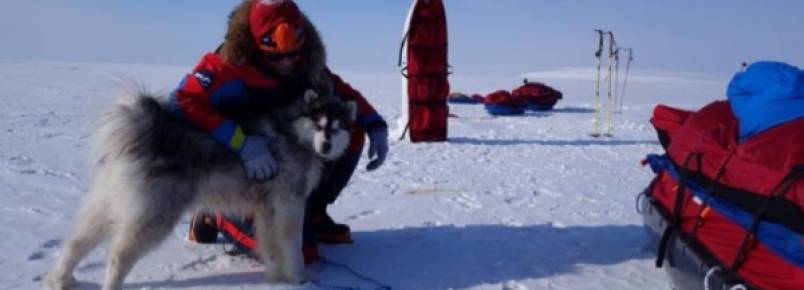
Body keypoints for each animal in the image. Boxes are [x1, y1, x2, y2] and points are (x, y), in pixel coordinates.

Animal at [46, 89, 354, 290]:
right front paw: (299, 277)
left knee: (78, 241)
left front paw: (278, 275)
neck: (295, 132)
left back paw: (61, 279)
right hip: (156, 214)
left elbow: (271, 243)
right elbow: (293, 244)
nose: (326, 145)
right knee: (118, 255)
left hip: (109, 202)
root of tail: (148, 131)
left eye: (337, 128)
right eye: (319, 124)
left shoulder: (268, 207)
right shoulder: (289, 202)